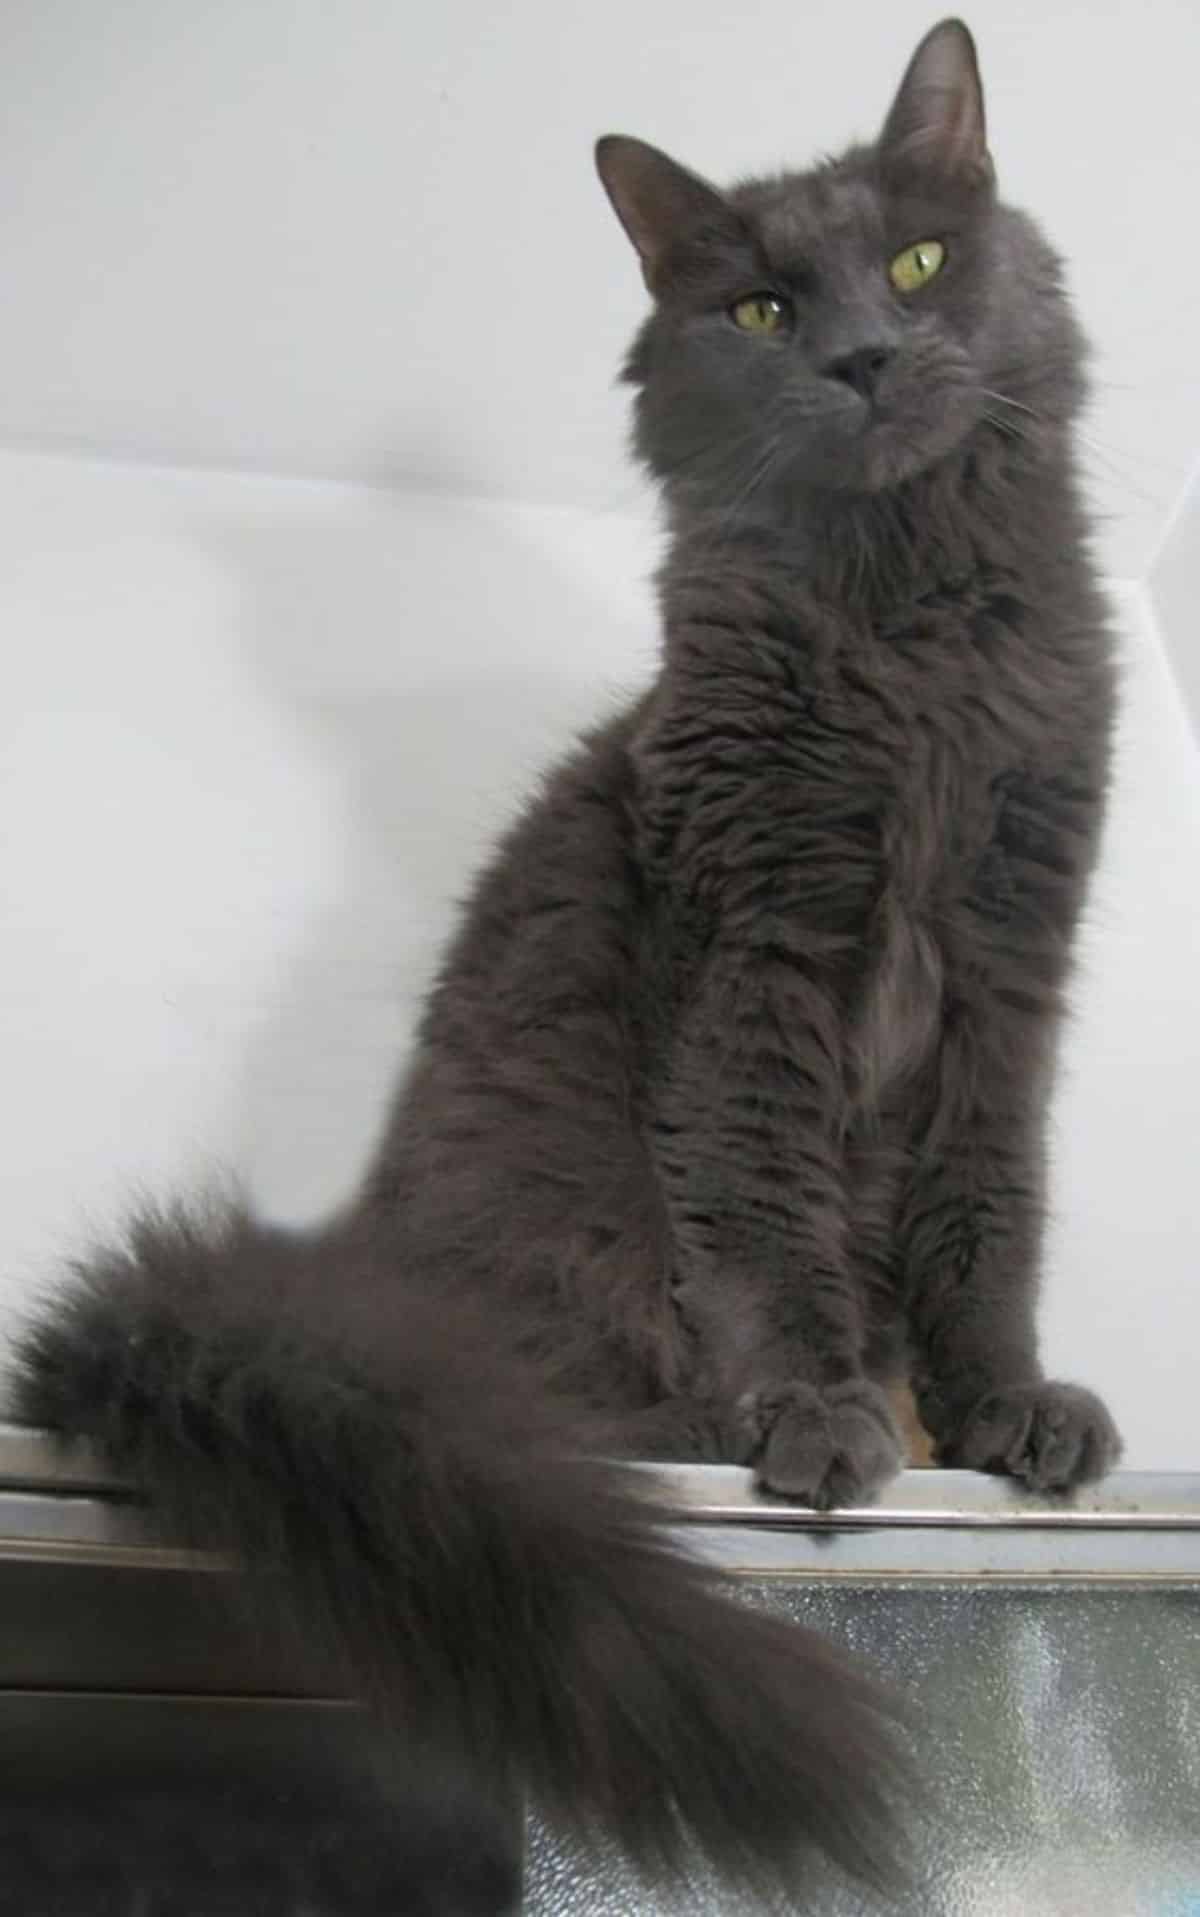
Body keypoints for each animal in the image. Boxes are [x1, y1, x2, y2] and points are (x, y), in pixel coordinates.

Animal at [9, 18, 1119, 1917]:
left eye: (916, 262)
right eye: (760, 307)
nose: (863, 356)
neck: (906, 644)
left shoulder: (1005, 962)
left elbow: (993, 1215)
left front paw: (1000, 1411)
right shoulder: (757, 944)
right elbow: (765, 1209)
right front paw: (820, 1409)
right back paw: (703, 1421)